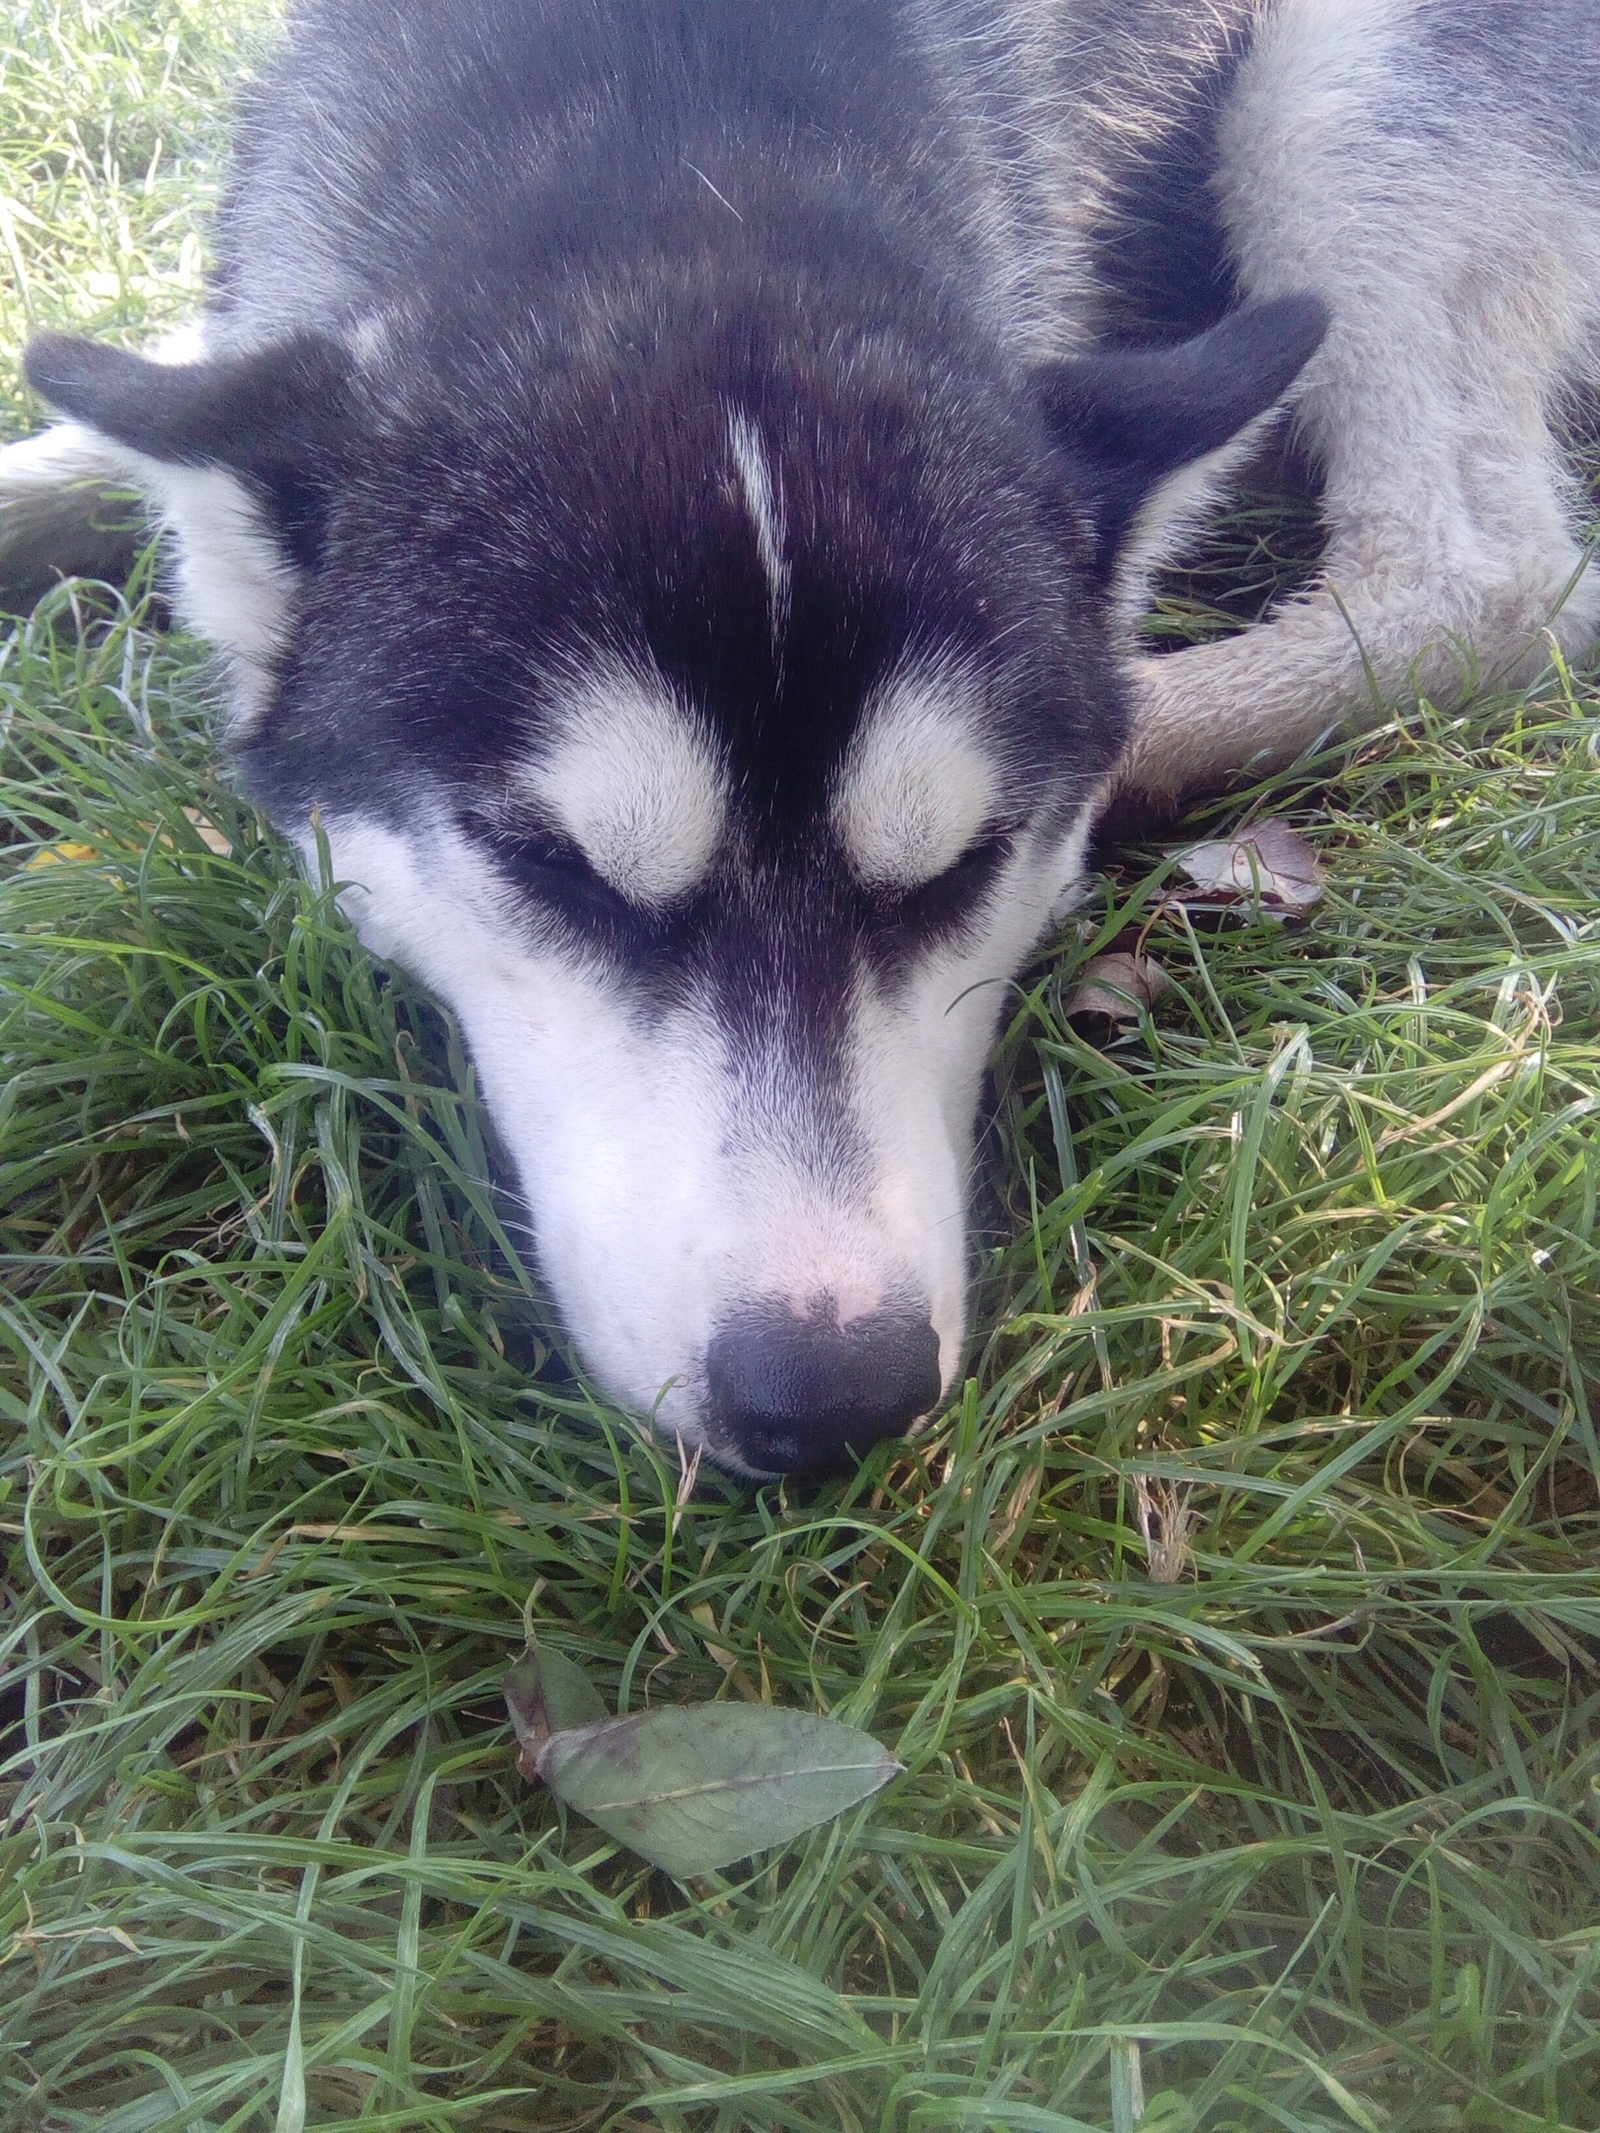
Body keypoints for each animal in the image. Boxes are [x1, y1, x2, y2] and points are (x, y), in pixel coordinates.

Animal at [12, 0, 1600, 1476]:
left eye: (966, 864)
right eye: (555, 868)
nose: (830, 1401)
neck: (667, 145)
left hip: (1339, 97)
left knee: (1484, 583)